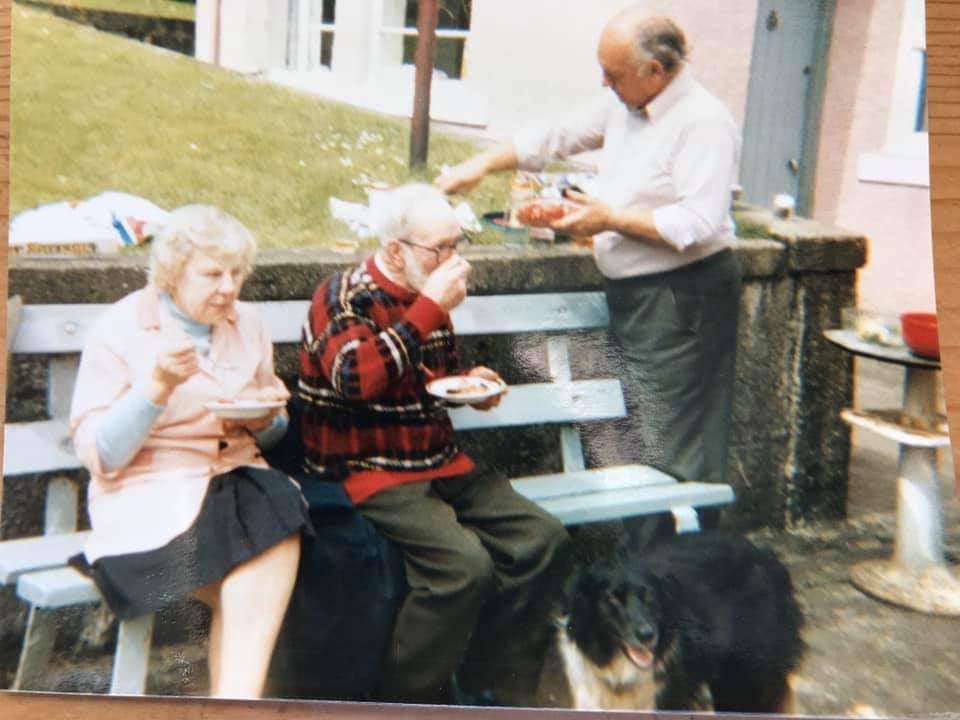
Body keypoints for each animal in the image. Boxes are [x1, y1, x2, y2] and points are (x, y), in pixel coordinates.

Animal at [555, 531, 805, 713]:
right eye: (612, 599)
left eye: (649, 595)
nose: (648, 635)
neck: (619, 675)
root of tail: (766, 556)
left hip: (746, 675)